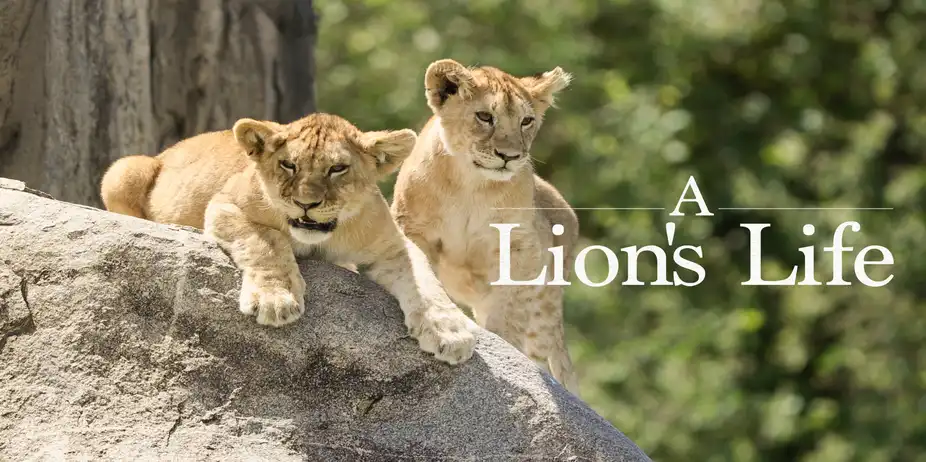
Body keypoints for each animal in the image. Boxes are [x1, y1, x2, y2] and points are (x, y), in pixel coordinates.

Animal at [100, 113, 476, 365]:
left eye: (337, 168)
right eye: (288, 165)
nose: (306, 203)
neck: (318, 238)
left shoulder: (393, 244)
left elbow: (424, 281)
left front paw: (450, 332)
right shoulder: (224, 206)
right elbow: (267, 244)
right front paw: (275, 300)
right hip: (123, 170)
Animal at [391, 59, 580, 391]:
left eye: (526, 121)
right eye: (484, 117)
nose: (510, 156)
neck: (472, 186)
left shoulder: (523, 246)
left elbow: (509, 308)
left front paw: (505, 351)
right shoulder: (413, 229)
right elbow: (422, 279)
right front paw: (443, 334)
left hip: (545, 307)